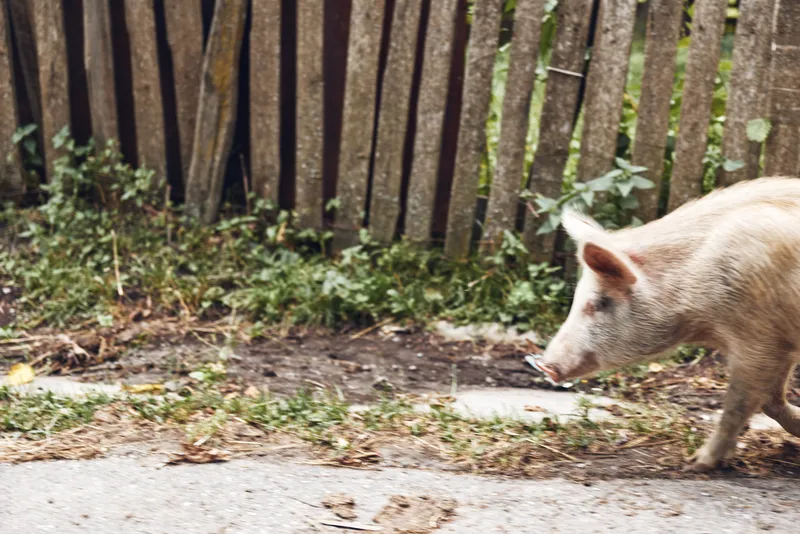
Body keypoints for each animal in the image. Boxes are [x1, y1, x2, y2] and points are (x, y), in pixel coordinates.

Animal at [537, 176, 800, 472]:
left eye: (601, 302)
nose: (544, 365)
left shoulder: (759, 339)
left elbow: (738, 405)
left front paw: (695, 463)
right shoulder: (777, 342)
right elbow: (769, 402)